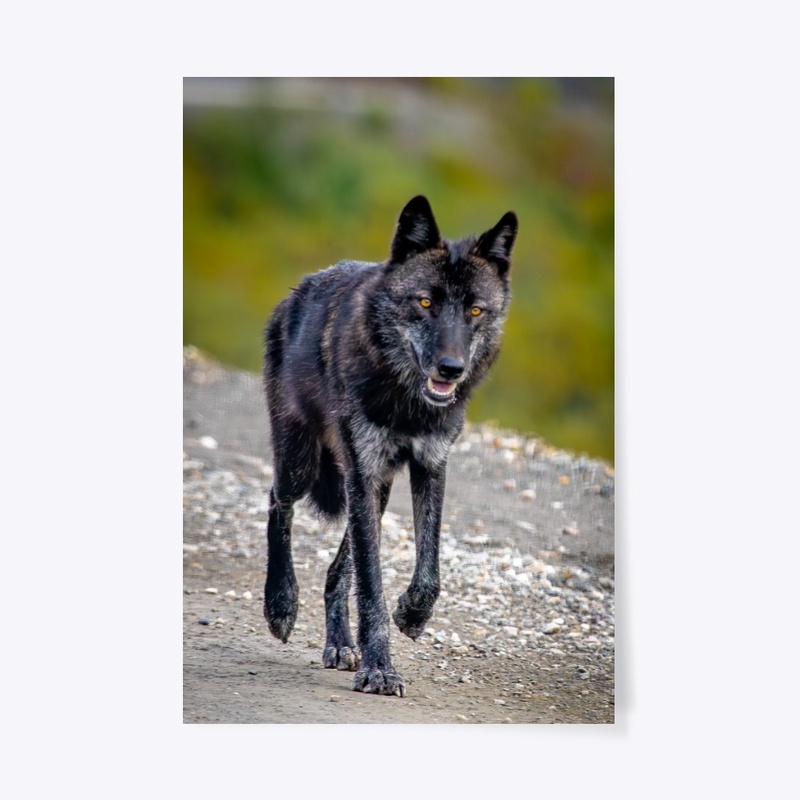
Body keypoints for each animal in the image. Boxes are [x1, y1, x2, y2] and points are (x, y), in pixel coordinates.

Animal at [263, 195, 518, 696]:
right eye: (426, 303)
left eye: (476, 311)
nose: (451, 368)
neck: (408, 403)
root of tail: (294, 293)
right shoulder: (363, 473)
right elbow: (371, 584)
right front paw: (380, 667)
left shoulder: (430, 465)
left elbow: (428, 569)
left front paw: (412, 616)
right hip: (303, 464)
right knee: (278, 503)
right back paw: (280, 604)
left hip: (374, 491)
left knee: (336, 571)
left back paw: (340, 645)